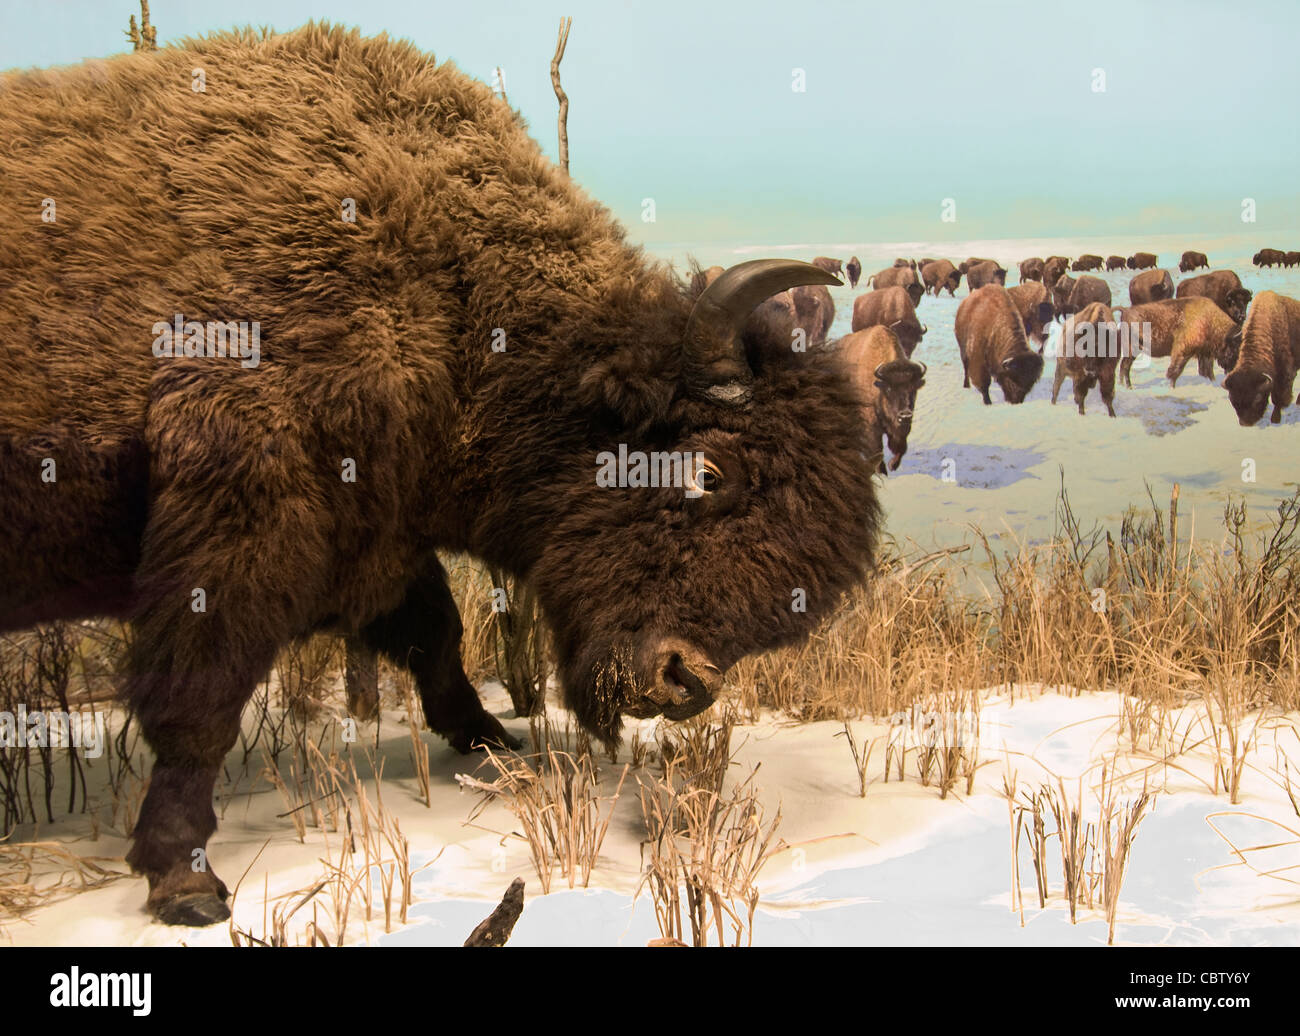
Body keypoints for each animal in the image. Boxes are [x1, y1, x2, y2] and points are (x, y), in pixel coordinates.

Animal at [0, 28, 883, 925]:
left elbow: (435, 635)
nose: (680, 684)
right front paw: (185, 879)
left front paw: (493, 739)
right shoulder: (241, 535)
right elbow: (198, 705)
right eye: (708, 472)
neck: (446, 286)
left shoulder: (377, 538)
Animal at [832, 327, 925, 473]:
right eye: (889, 389)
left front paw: (893, 465)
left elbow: (901, 446)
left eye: (913, 389)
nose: (905, 415)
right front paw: (881, 471)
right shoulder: (871, 425)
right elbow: (877, 449)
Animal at [1112, 298, 1242, 387]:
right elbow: (1175, 370)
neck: (1210, 321)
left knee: (1124, 367)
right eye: (1235, 347)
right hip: (1132, 349)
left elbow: (1206, 372)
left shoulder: (1204, 354)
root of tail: (1126, 310)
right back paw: (1128, 387)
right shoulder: (1182, 351)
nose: (1234, 370)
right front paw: (1171, 387)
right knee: (1125, 367)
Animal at [1216, 288, 1300, 421]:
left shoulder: (1286, 372)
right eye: (1233, 399)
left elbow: (1278, 397)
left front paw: (1275, 419)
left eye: (1257, 398)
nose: (1245, 422)